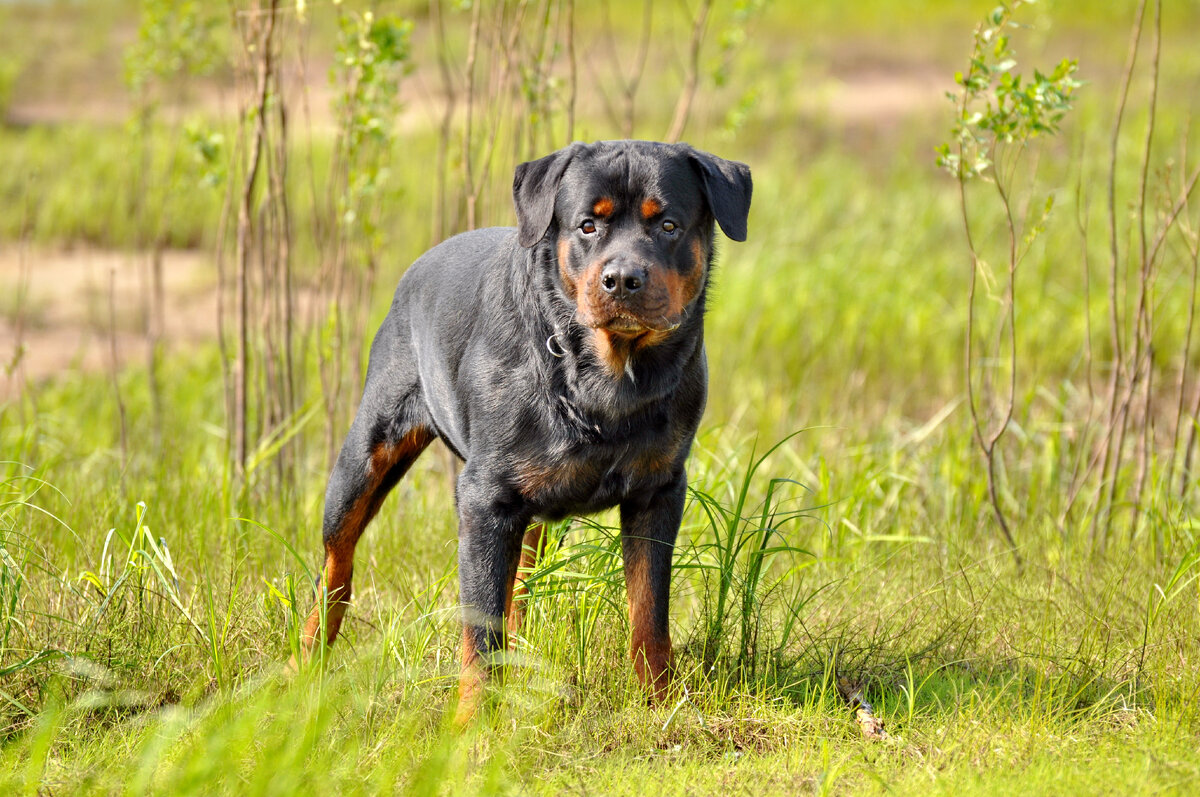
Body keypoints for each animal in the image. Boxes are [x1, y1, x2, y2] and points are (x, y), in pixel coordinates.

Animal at [300, 138, 748, 720]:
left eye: (669, 225)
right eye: (587, 226)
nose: (622, 278)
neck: (603, 377)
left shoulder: (659, 489)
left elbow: (649, 612)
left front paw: (661, 703)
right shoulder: (484, 500)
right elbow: (480, 631)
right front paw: (470, 724)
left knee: (519, 583)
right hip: (368, 451)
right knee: (337, 562)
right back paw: (307, 658)